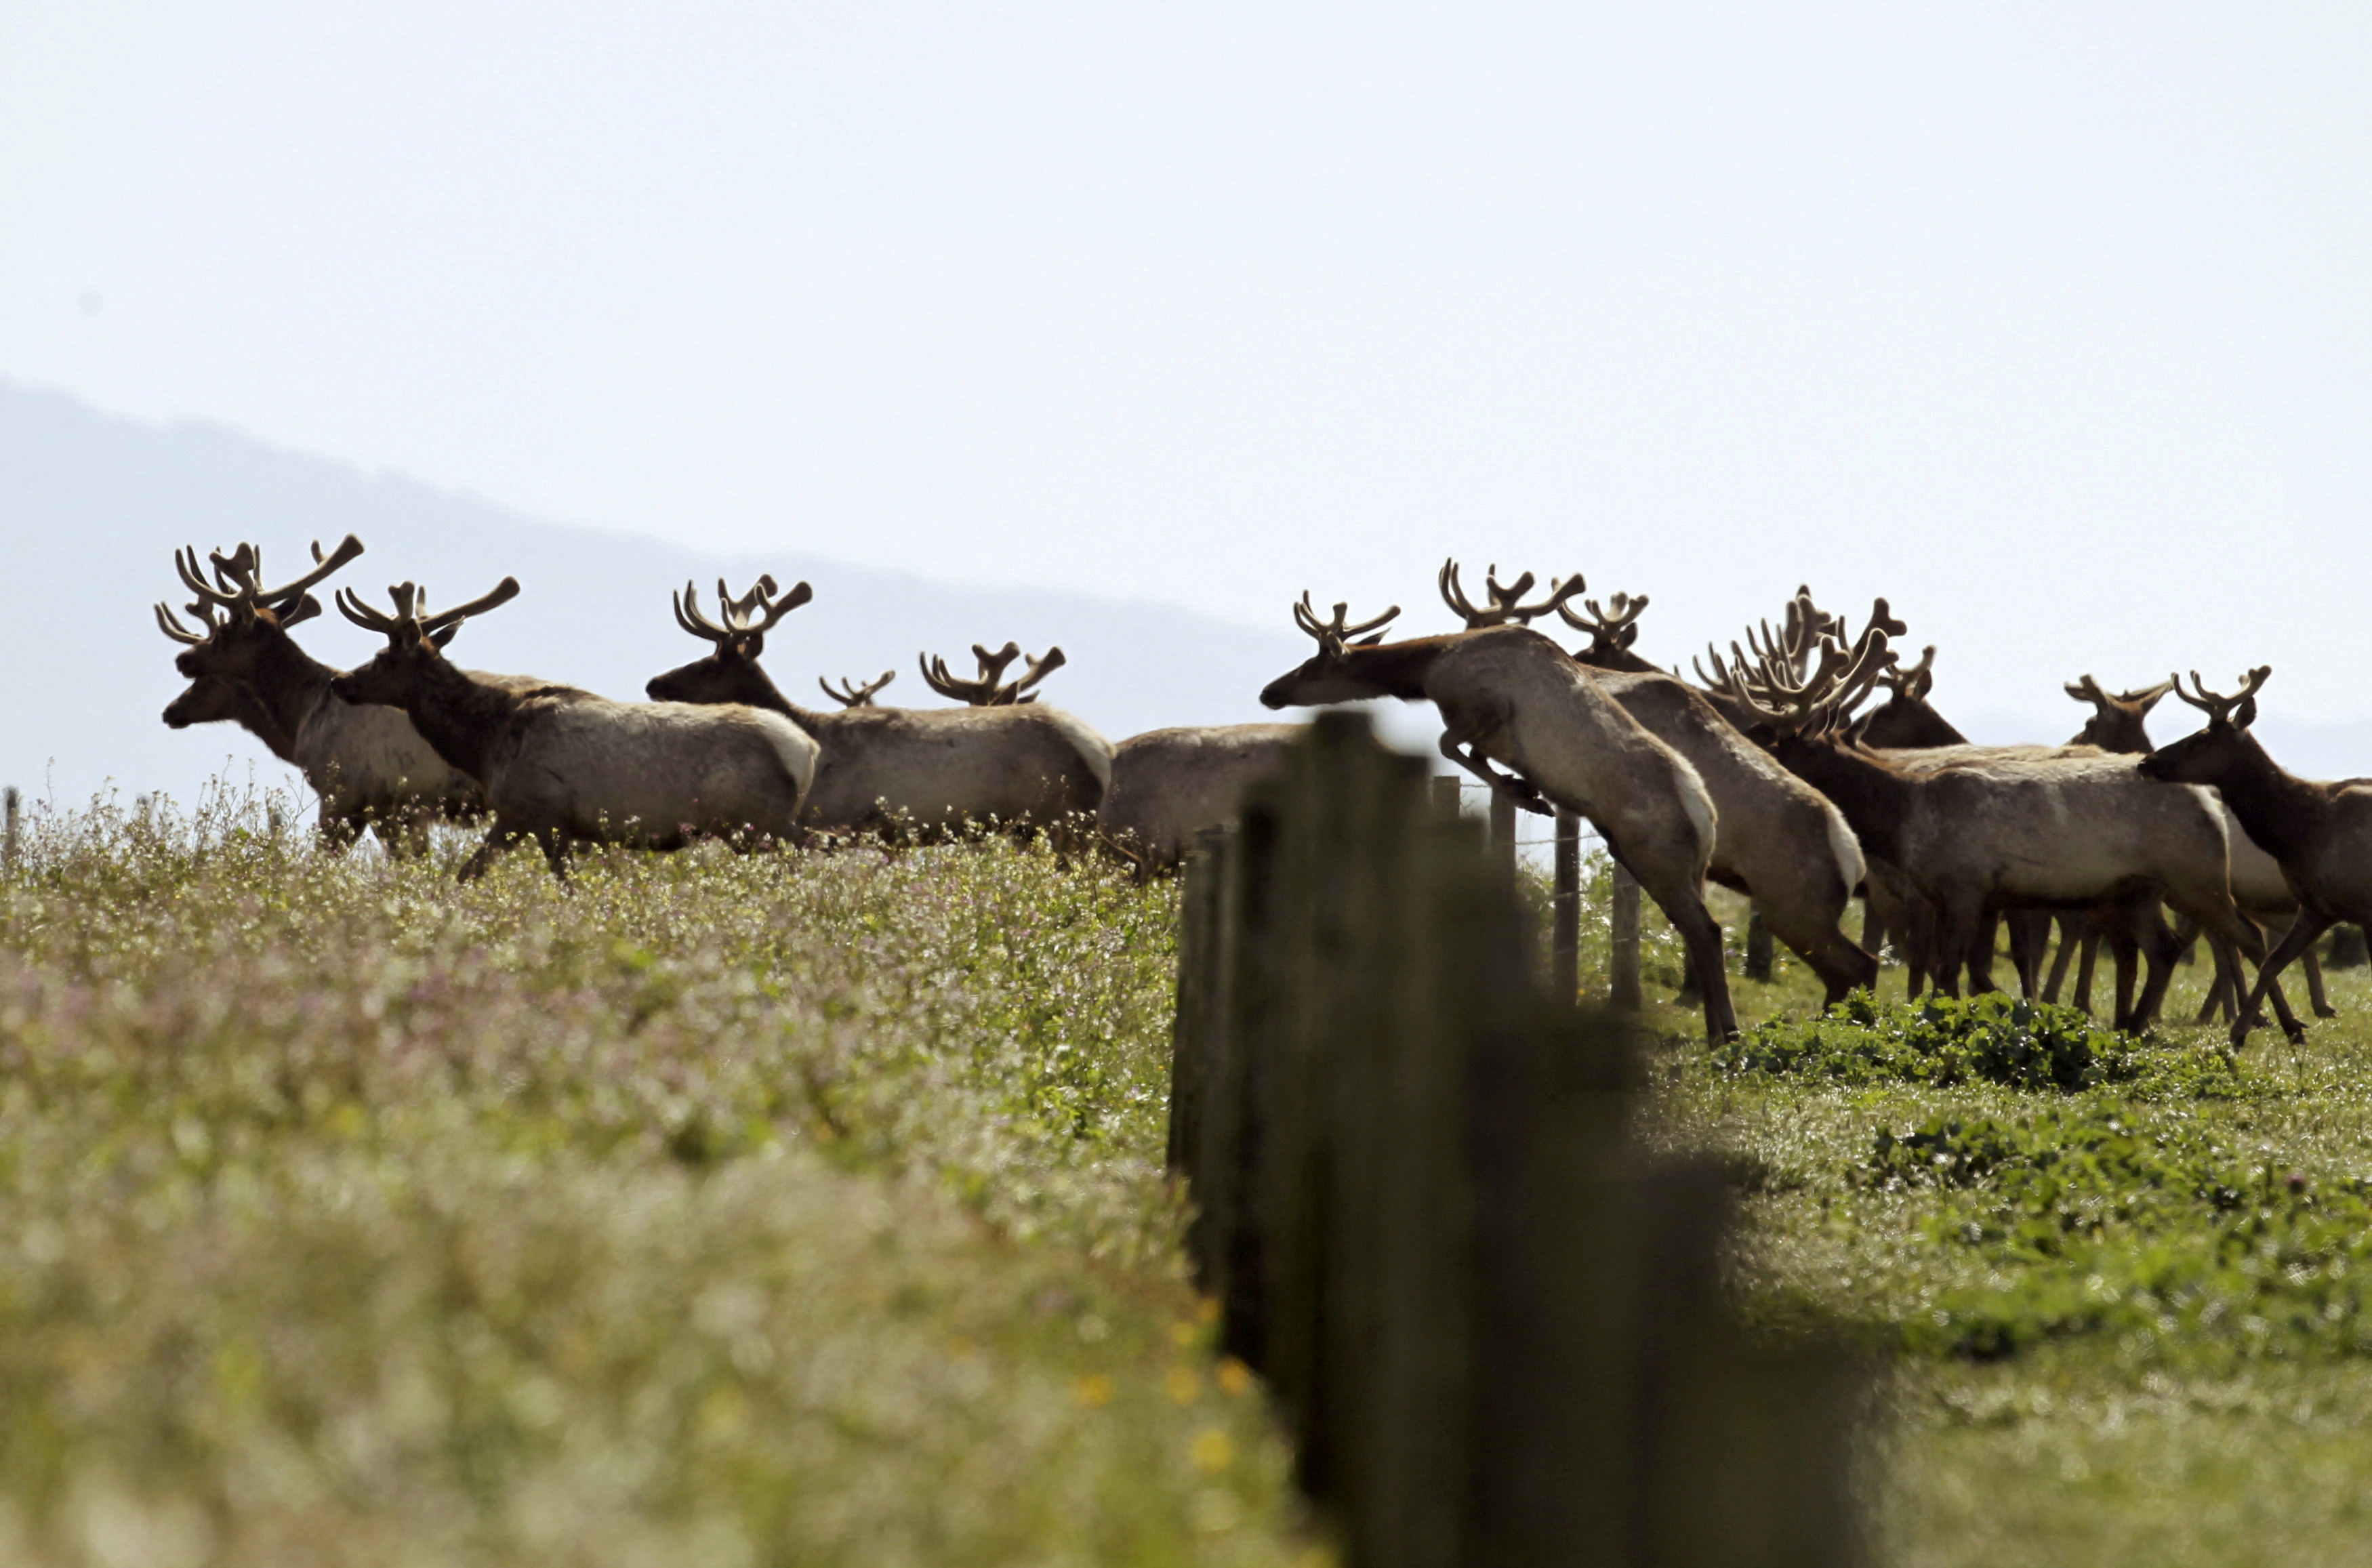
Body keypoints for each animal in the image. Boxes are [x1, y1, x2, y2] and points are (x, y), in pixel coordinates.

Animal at [334, 574, 816, 873]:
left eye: (382, 657)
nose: (342, 681)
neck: (485, 746)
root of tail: (805, 750)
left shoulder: (545, 813)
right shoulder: (516, 816)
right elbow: (467, 873)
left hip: (757, 823)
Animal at [636, 574, 1105, 840]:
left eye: (711, 663)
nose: (654, 684)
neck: (814, 738)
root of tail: (1099, 750)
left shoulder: (839, 820)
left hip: (1062, 821)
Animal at [1262, 590, 1746, 1039]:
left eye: (1312, 667)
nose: (1269, 692)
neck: (1428, 670)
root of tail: (1707, 817)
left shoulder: (1486, 705)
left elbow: (1448, 745)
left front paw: (1526, 795)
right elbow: (1473, 755)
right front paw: (1523, 788)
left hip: (1657, 858)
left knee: (1706, 929)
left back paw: (1726, 1032)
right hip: (1667, 864)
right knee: (1699, 929)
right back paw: (1715, 1027)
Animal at [2135, 659, 2372, 1039]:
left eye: (2200, 739)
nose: (2146, 763)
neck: (2301, 831)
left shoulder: (2364, 905)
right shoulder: (2316, 907)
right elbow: (2272, 963)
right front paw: (2249, 1032)